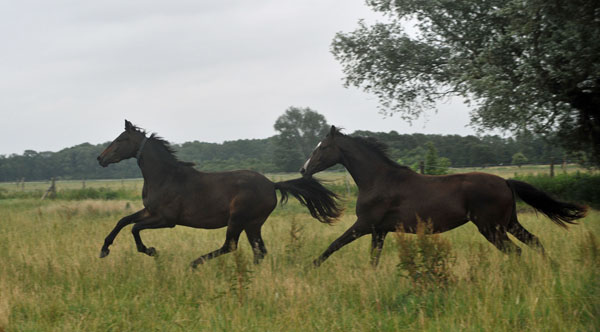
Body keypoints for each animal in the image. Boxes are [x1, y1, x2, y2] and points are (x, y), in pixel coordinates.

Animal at [98, 119, 342, 268]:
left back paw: (195, 264)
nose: (100, 158)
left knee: (231, 246)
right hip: (253, 224)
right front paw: (104, 250)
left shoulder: (166, 219)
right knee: (259, 251)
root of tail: (272, 184)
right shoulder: (150, 211)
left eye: (120, 140)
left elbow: (135, 228)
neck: (164, 176)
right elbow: (124, 220)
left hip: (238, 219)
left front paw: (151, 251)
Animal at [300, 126, 584, 266]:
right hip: (509, 223)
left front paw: (309, 267)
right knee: (534, 241)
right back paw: (551, 269)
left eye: (322, 147)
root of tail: (505, 181)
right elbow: (373, 260)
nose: (303, 170)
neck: (378, 181)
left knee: (516, 251)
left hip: (491, 228)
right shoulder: (378, 231)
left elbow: (333, 246)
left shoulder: (364, 225)